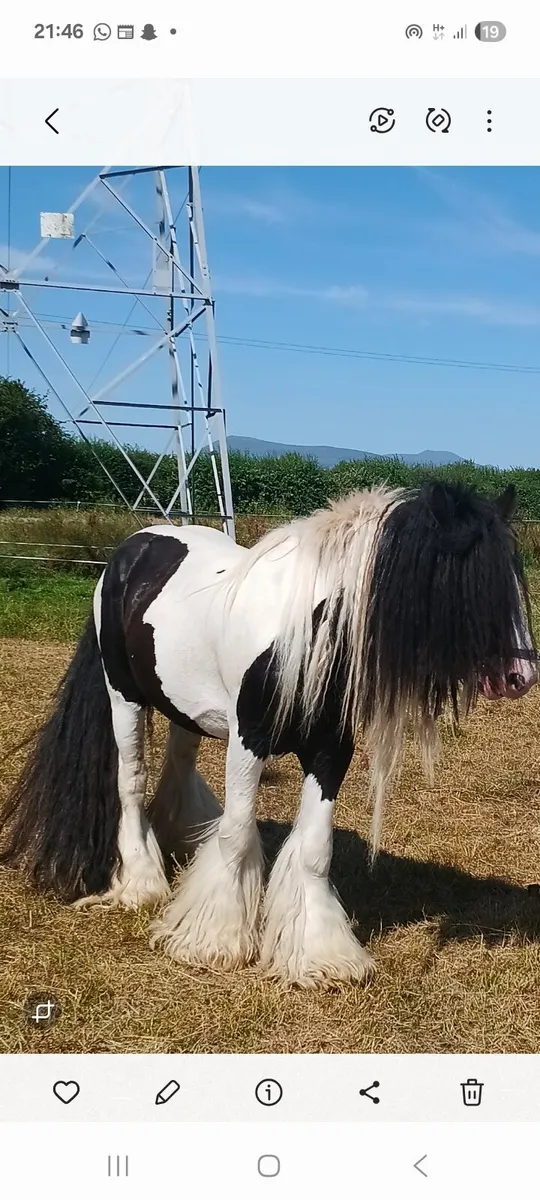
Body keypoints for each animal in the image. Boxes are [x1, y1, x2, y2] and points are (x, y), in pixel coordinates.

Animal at [0, 480, 537, 988]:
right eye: (473, 581)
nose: (521, 677)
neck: (307, 632)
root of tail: (132, 549)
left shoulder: (330, 752)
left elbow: (315, 849)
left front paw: (321, 956)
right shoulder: (248, 741)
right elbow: (237, 834)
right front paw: (211, 940)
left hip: (183, 708)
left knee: (179, 764)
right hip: (123, 698)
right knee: (130, 784)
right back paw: (142, 885)